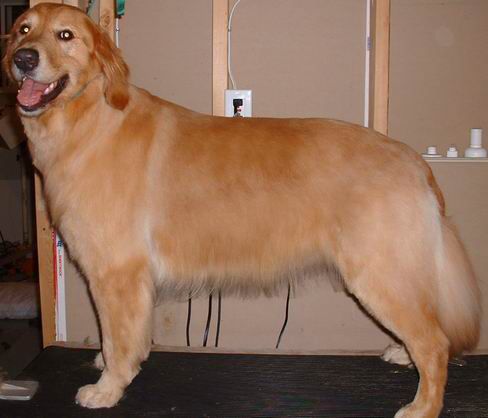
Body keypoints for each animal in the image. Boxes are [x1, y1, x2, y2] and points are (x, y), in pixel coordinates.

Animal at [3, 4, 482, 418]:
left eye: (65, 35)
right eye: (24, 29)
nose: (23, 59)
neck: (88, 119)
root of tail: (412, 159)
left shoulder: (118, 273)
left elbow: (121, 340)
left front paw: (108, 389)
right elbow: (114, 337)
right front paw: (104, 363)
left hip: (378, 273)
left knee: (435, 343)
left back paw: (422, 406)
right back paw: (403, 354)